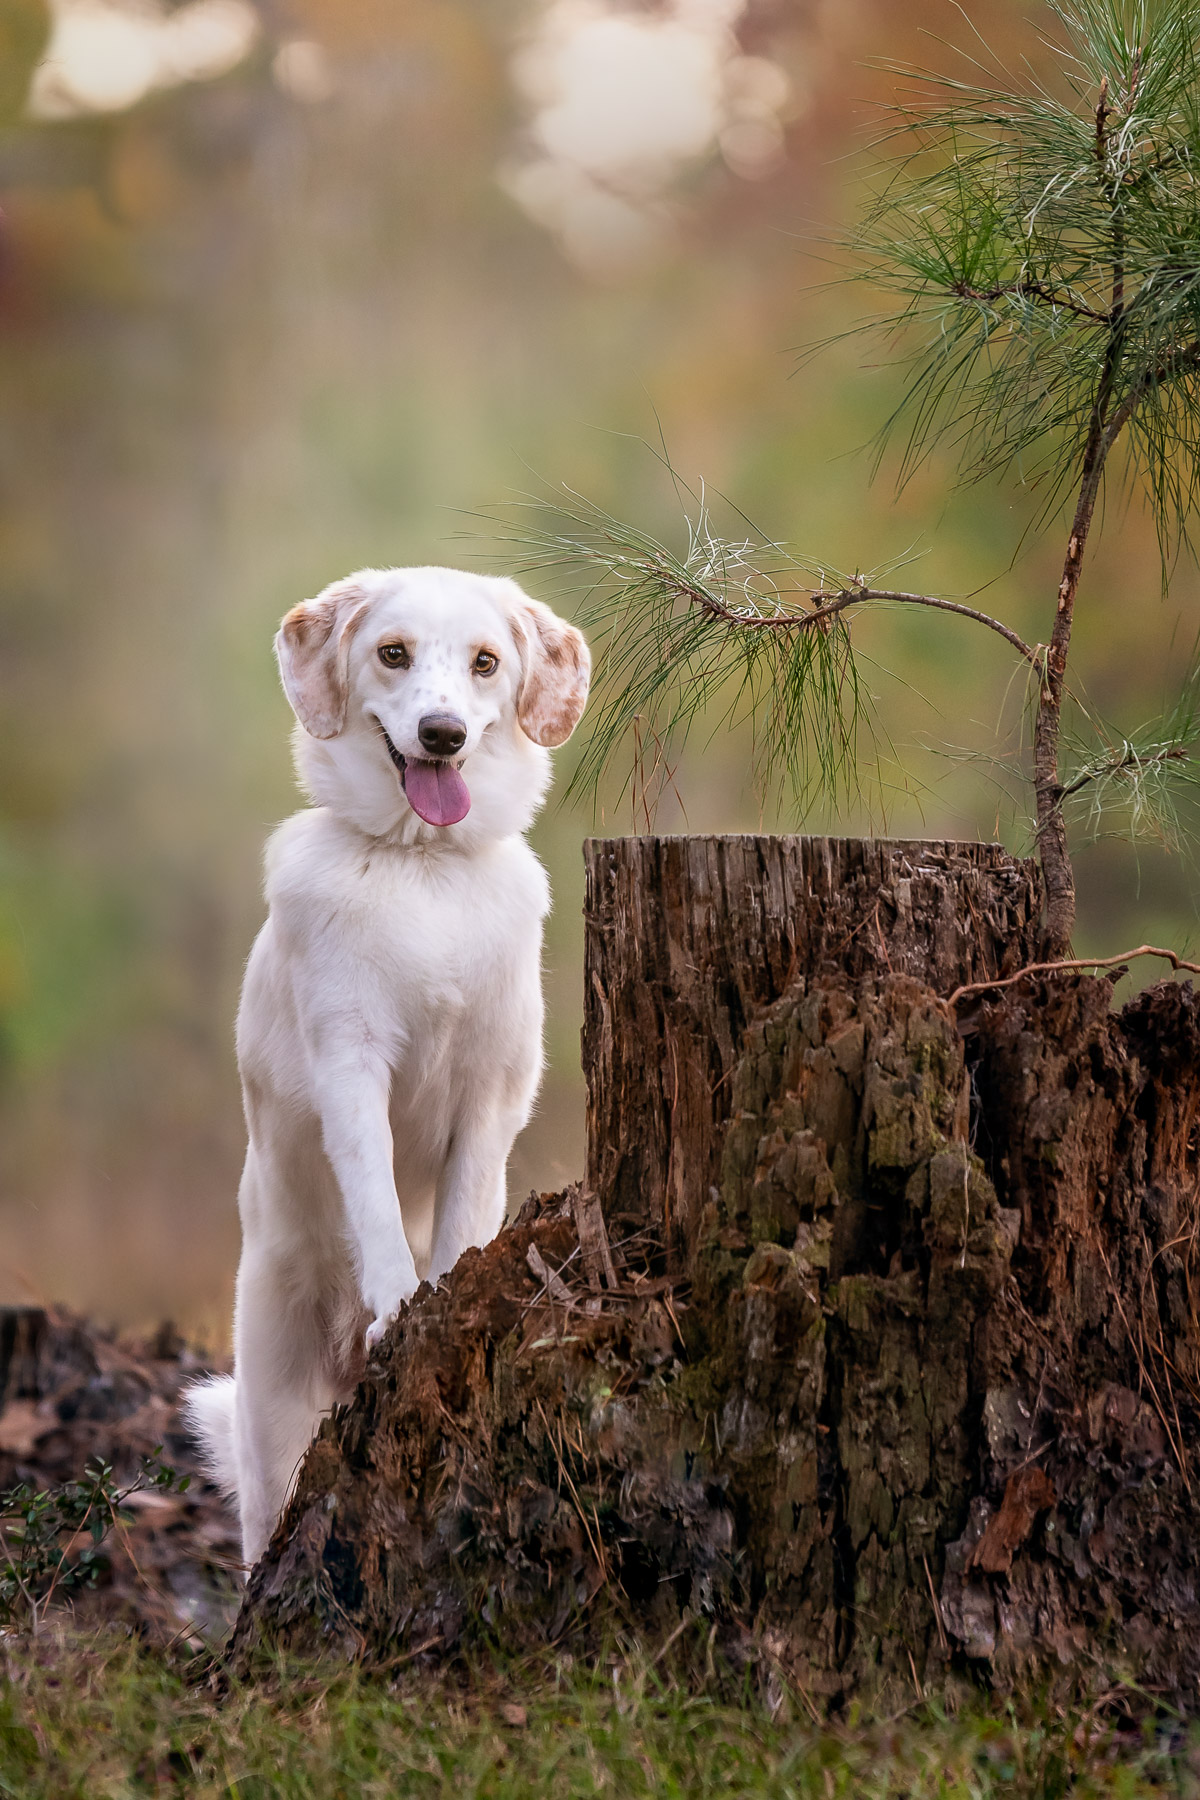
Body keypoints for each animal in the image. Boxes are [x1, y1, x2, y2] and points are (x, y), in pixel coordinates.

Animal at [183, 561, 590, 1562]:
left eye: (485, 663)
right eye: (393, 653)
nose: (441, 734)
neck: (425, 872)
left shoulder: (494, 1091)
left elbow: (460, 1222)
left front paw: (437, 1290)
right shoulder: (350, 1068)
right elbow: (376, 1212)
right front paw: (400, 1301)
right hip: (269, 1420)